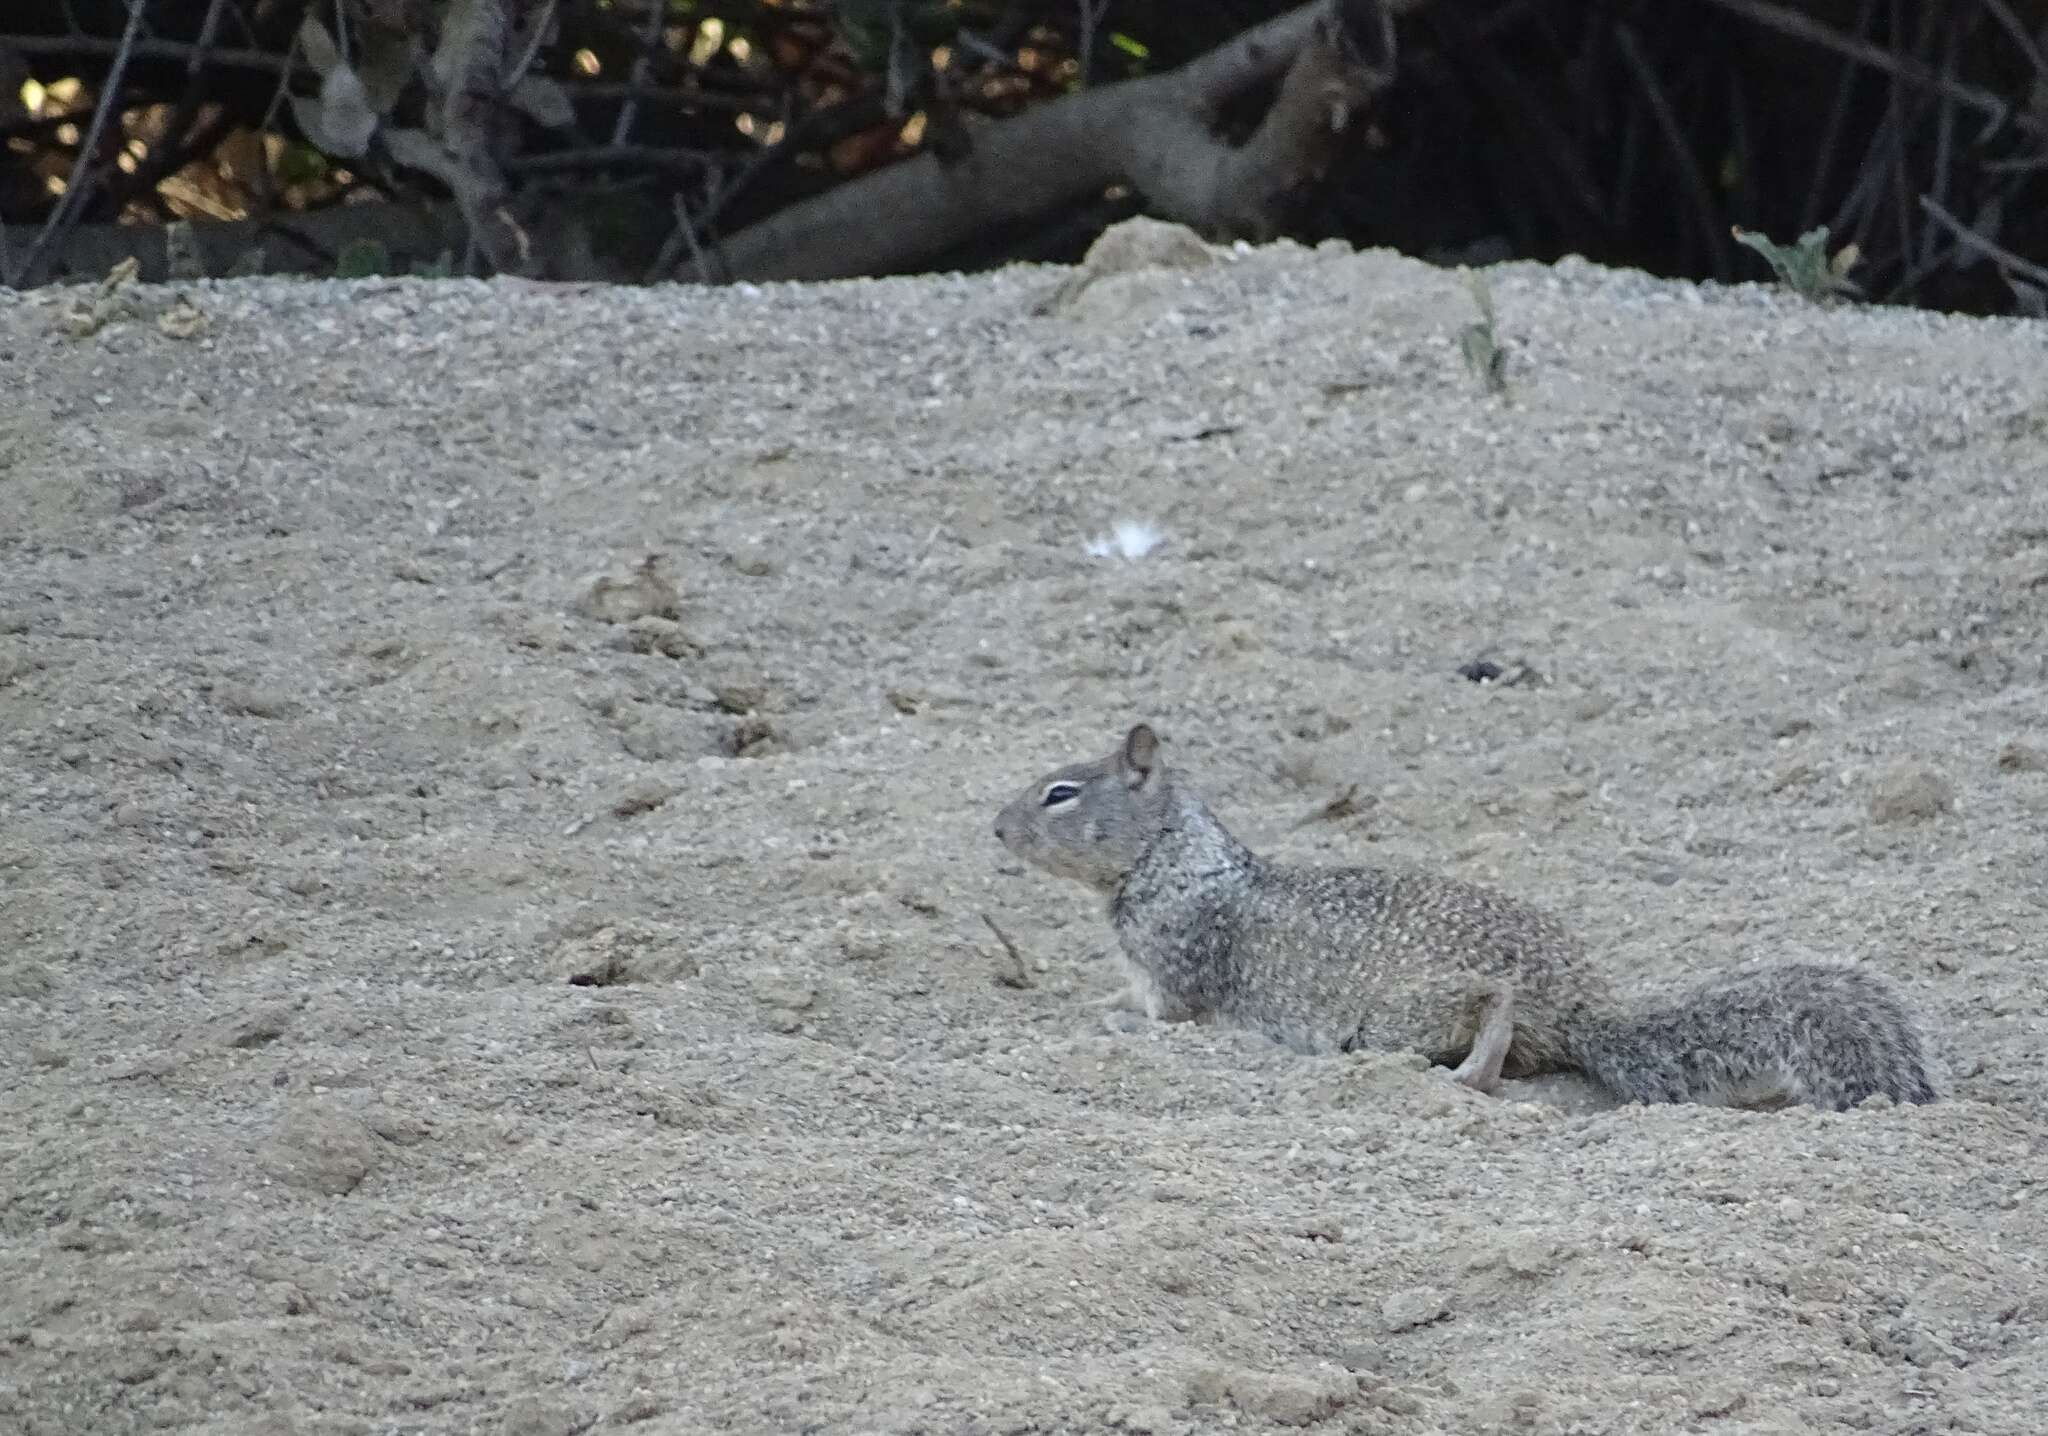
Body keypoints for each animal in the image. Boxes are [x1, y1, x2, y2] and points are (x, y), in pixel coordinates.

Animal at [991, 721, 1933, 1106]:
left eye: (1060, 793)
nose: (994, 827)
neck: (1172, 858)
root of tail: (1586, 1004)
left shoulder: (1179, 970)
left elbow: (1160, 1018)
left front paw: (1105, 1022)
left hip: (1397, 1014)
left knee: (1490, 1008)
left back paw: (1470, 1072)